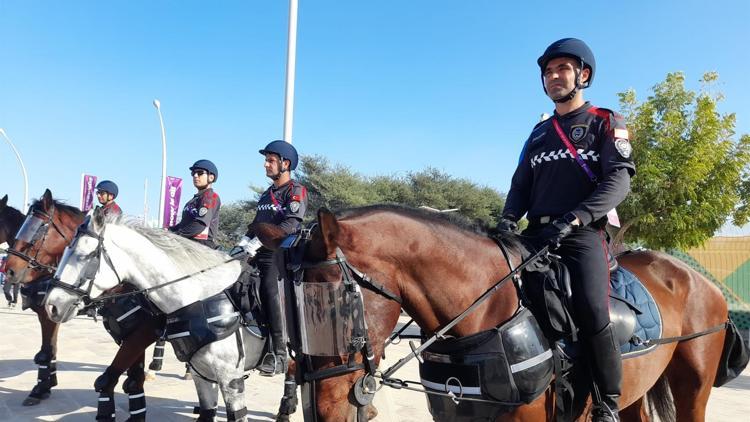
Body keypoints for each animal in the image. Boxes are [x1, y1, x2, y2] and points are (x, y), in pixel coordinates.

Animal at [4, 190, 162, 418]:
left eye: (39, 228)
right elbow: (49, 350)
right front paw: (45, 386)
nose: (8, 270)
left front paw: (41, 388)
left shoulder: (141, 331)